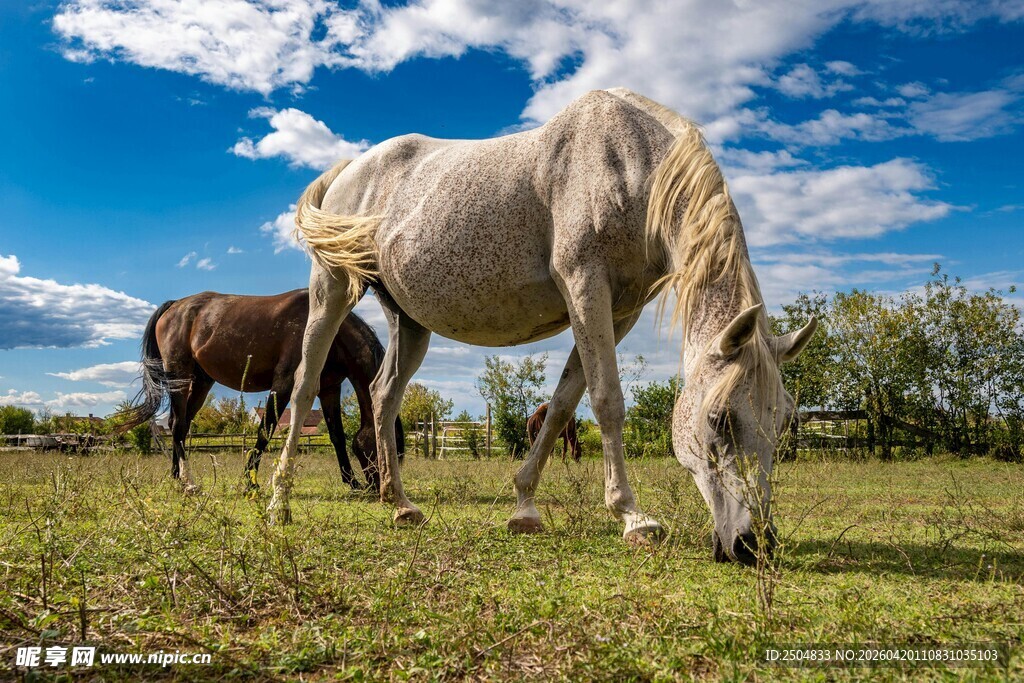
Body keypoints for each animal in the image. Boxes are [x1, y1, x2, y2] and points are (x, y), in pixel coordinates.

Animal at [119, 289, 403, 493]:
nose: (380, 489)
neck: (327, 334)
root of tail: (175, 305)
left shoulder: (329, 390)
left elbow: (337, 437)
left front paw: (351, 482)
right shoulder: (284, 385)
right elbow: (265, 430)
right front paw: (250, 482)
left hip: (201, 382)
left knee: (180, 424)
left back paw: (176, 477)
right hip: (180, 376)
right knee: (178, 426)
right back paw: (188, 481)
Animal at [267, 88, 816, 565]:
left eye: (784, 421)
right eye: (719, 418)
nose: (754, 544)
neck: (631, 162)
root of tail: (351, 170)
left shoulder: (617, 313)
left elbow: (563, 406)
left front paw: (525, 507)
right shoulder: (586, 287)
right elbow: (607, 401)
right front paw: (633, 517)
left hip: (410, 322)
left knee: (384, 396)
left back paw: (399, 504)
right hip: (332, 290)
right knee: (305, 385)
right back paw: (279, 502)